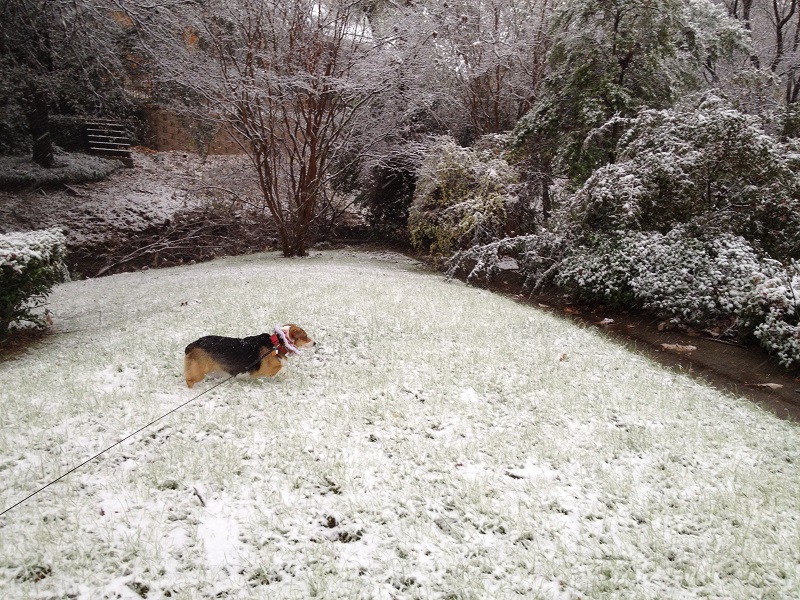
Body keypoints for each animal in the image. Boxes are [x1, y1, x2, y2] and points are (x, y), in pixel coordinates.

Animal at [185, 324, 316, 390]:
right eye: (305, 336)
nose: (315, 343)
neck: (277, 343)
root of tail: (191, 345)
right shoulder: (271, 369)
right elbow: (284, 369)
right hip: (199, 373)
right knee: (189, 380)